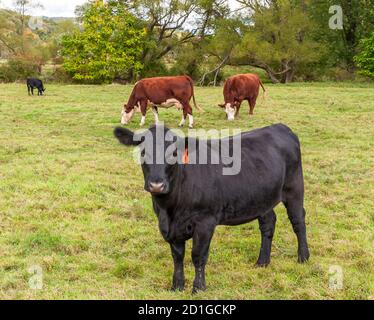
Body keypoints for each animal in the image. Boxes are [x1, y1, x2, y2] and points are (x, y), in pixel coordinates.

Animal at [113, 124, 310, 294]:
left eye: (174, 153)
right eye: (143, 152)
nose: (156, 185)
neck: (170, 209)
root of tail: (280, 127)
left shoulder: (205, 221)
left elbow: (198, 255)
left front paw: (198, 288)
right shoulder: (169, 226)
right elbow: (177, 256)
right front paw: (177, 286)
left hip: (294, 188)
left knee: (298, 221)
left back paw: (303, 257)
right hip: (263, 198)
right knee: (268, 224)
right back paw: (262, 262)